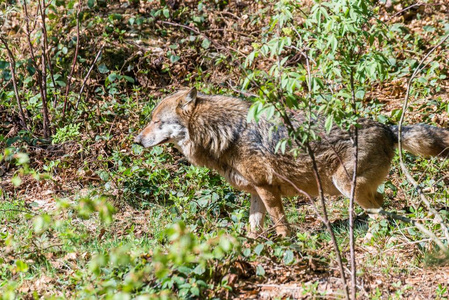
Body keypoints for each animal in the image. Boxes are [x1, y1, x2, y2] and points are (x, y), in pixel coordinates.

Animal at [135, 88, 448, 238]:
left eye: (156, 122)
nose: (137, 140)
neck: (227, 131)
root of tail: (388, 127)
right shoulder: (256, 191)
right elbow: (254, 225)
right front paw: (252, 247)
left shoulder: (267, 187)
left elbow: (279, 221)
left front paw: (285, 242)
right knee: (383, 204)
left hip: (345, 185)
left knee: (380, 212)